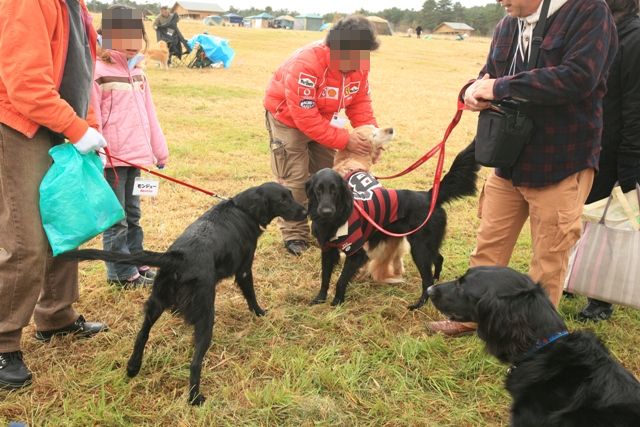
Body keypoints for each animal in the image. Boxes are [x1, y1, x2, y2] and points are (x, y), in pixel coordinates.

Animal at [59, 182, 304, 406]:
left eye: (290, 195)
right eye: (283, 200)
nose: (304, 211)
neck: (243, 208)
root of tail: (178, 257)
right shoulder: (244, 269)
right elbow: (251, 294)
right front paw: (261, 312)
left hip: (156, 303)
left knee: (141, 335)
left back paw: (132, 368)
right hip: (206, 314)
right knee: (195, 362)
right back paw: (195, 398)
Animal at [306, 142, 480, 310]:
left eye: (334, 190)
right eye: (318, 190)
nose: (326, 211)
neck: (336, 218)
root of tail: (430, 196)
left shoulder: (356, 253)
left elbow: (341, 280)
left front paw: (337, 302)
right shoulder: (327, 250)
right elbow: (325, 277)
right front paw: (320, 299)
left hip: (420, 249)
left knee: (427, 280)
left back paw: (419, 304)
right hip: (427, 245)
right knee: (438, 259)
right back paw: (436, 281)